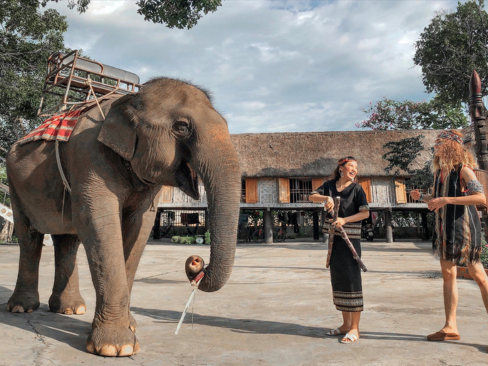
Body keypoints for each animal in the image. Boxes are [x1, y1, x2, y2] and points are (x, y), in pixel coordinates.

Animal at [5, 76, 242, 354]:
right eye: (182, 127)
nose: (196, 261)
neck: (128, 100)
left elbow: (140, 227)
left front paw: (130, 327)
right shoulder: (88, 155)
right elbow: (98, 222)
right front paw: (116, 348)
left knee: (67, 241)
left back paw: (70, 309)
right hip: (15, 185)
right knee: (29, 237)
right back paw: (22, 308)